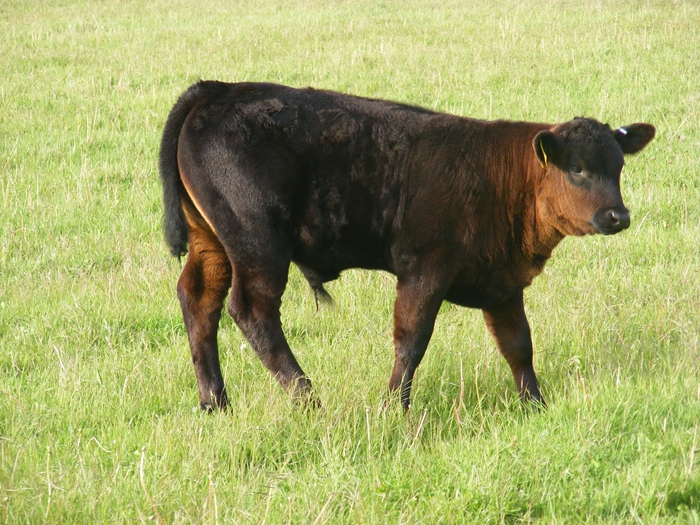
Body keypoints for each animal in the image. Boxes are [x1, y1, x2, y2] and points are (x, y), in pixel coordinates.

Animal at [158, 80, 655, 412]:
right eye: (577, 168)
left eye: (618, 167)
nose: (618, 216)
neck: (500, 177)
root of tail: (216, 90)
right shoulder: (424, 270)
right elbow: (411, 340)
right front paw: (394, 407)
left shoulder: (502, 283)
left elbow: (518, 344)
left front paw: (535, 405)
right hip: (258, 244)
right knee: (251, 311)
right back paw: (307, 398)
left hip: (212, 244)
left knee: (198, 300)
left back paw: (215, 402)